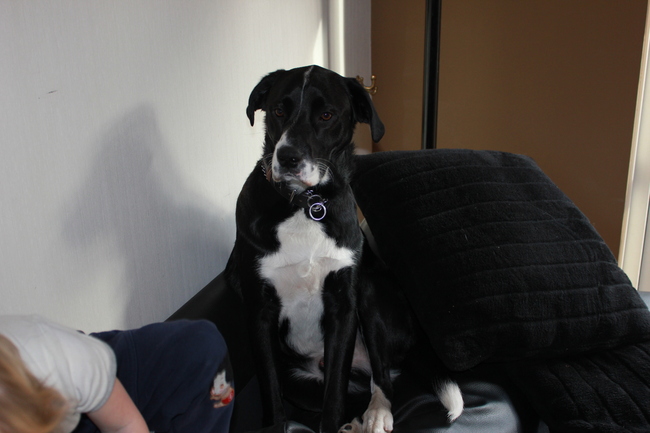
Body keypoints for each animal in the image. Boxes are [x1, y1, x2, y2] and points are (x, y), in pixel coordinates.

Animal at [226, 65, 463, 433]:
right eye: (279, 110)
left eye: (326, 115)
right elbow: (271, 391)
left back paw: (376, 414)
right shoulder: (259, 312)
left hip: (368, 293)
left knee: (382, 378)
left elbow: (334, 393)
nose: (288, 158)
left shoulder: (342, 307)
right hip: (299, 380)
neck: (305, 206)